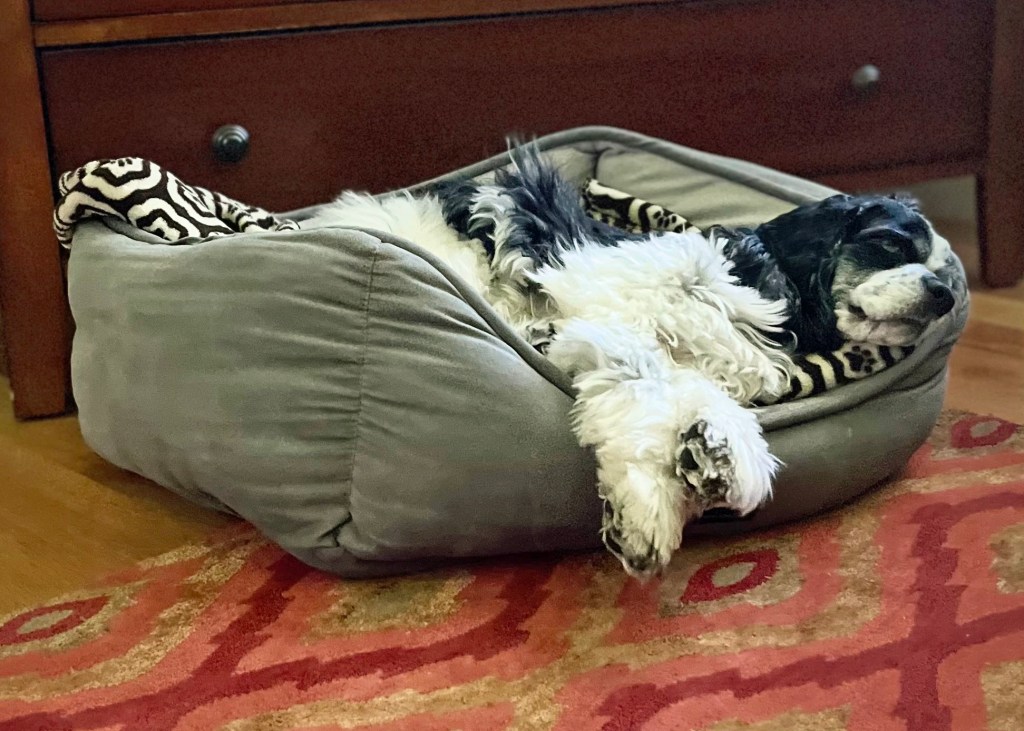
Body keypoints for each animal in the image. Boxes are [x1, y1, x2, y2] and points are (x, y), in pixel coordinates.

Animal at [304, 147, 960, 578]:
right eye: (891, 244)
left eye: (941, 266)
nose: (946, 294)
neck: (766, 280)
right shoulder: (608, 309)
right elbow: (641, 385)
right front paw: (650, 510)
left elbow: (694, 400)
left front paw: (713, 456)